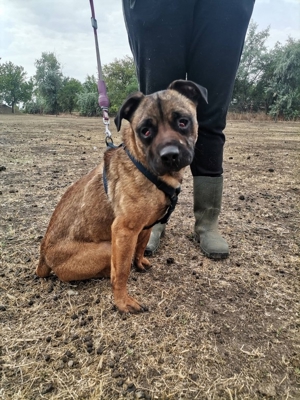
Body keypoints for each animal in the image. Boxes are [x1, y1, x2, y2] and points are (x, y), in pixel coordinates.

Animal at [36, 80, 207, 312]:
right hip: (107, 247)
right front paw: (122, 301)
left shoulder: (145, 226)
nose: (170, 155)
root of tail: (43, 255)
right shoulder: (123, 230)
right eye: (145, 131)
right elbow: (122, 271)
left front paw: (139, 262)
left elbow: (141, 246)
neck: (145, 167)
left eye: (183, 122)